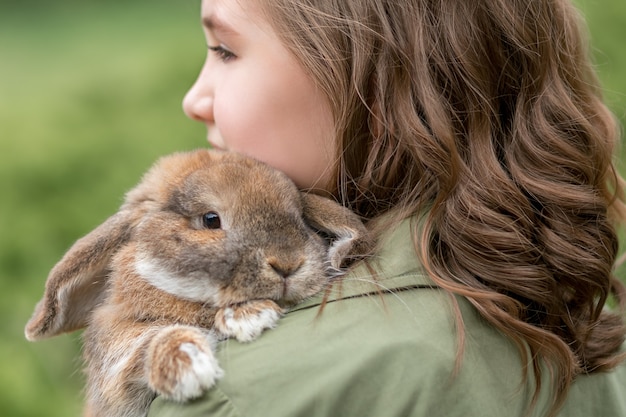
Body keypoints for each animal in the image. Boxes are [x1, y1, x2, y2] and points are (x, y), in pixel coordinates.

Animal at [24, 149, 368, 416]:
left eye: (300, 217)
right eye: (211, 219)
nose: (287, 264)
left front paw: (247, 316)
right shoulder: (113, 368)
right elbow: (142, 344)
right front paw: (188, 365)